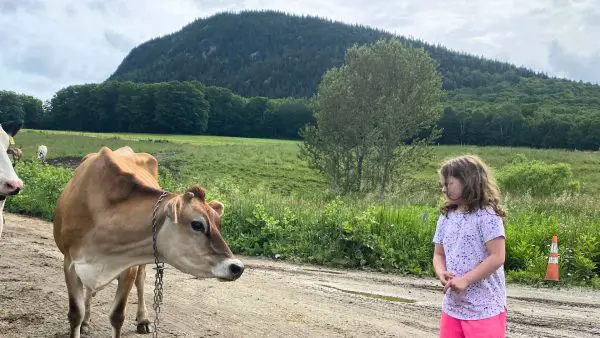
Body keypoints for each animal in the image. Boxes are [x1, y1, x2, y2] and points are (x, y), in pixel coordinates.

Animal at [52, 147, 244, 338]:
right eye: (197, 224)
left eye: (218, 224)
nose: (237, 267)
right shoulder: (69, 263)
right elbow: (76, 314)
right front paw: (82, 320)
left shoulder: (129, 265)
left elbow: (117, 316)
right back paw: (86, 321)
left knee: (141, 282)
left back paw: (143, 320)